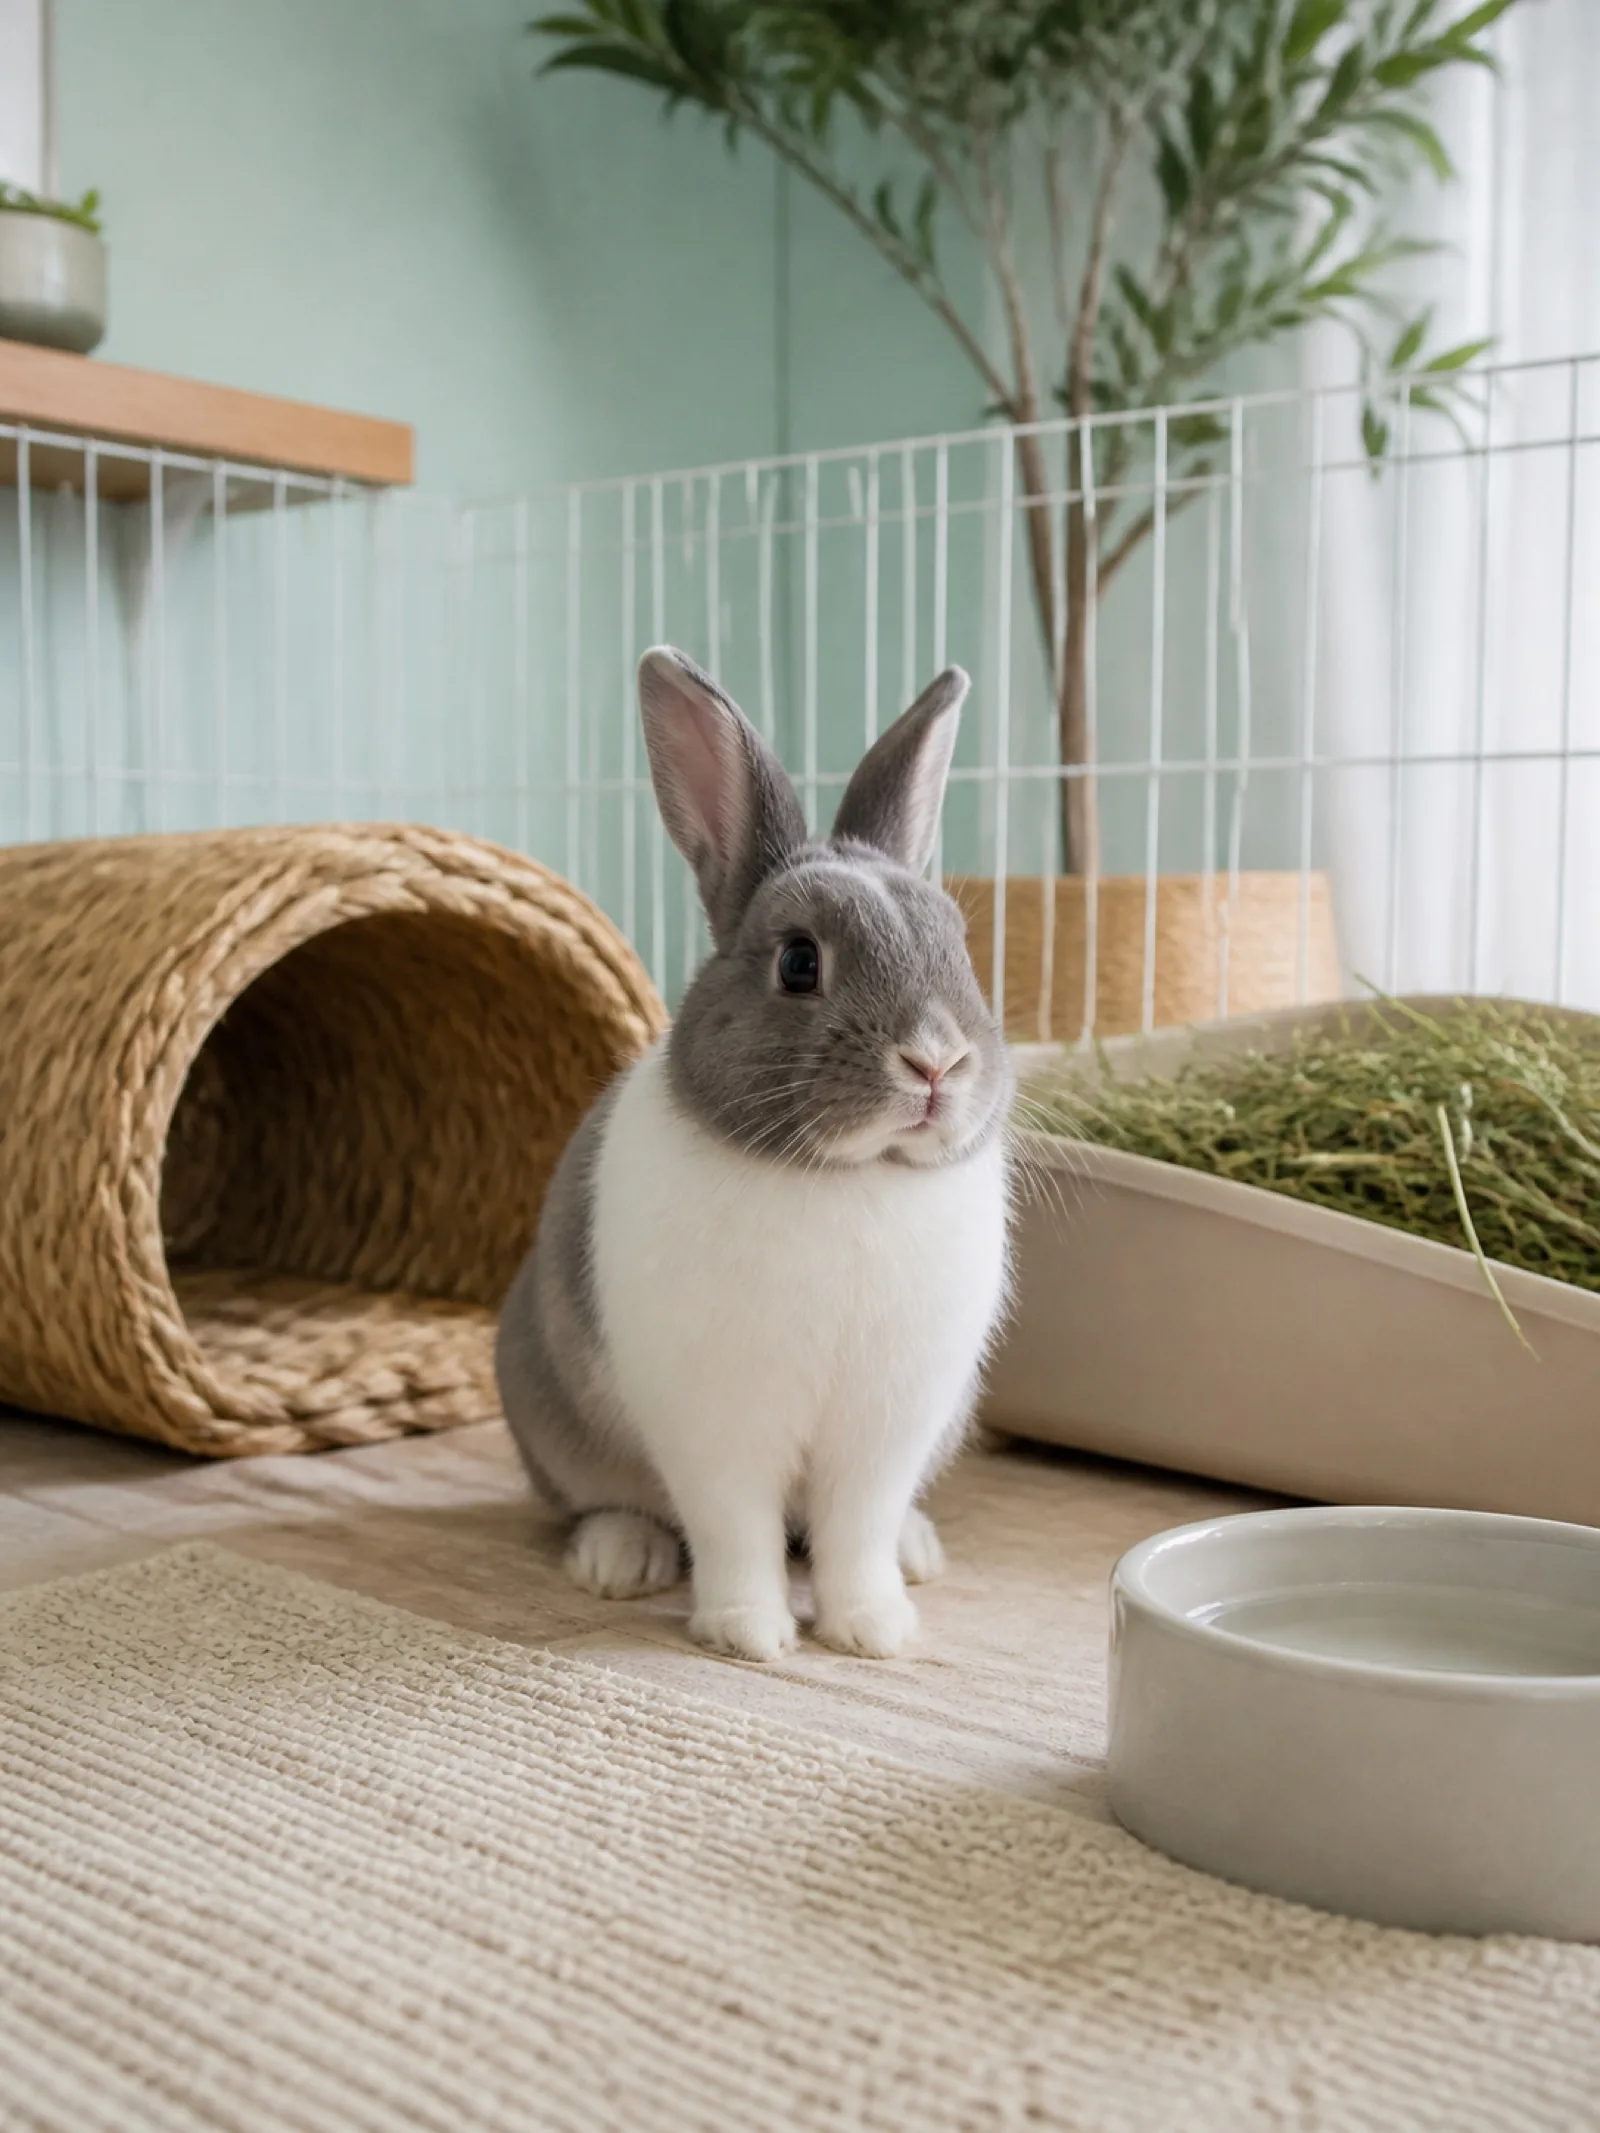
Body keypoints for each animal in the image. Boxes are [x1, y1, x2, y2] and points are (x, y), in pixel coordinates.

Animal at [495, 645, 1013, 1662]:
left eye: (960, 947)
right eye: (799, 962)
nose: (936, 1061)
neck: (850, 1177)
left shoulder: (883, 1434)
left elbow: (855, 1533)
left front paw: (874, 1630)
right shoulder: (717, 1429)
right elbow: (735, 1531)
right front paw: (750, 1636)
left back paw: (919, 1551)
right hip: (550, 1413)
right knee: (606, 1501)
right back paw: (618, 1559)